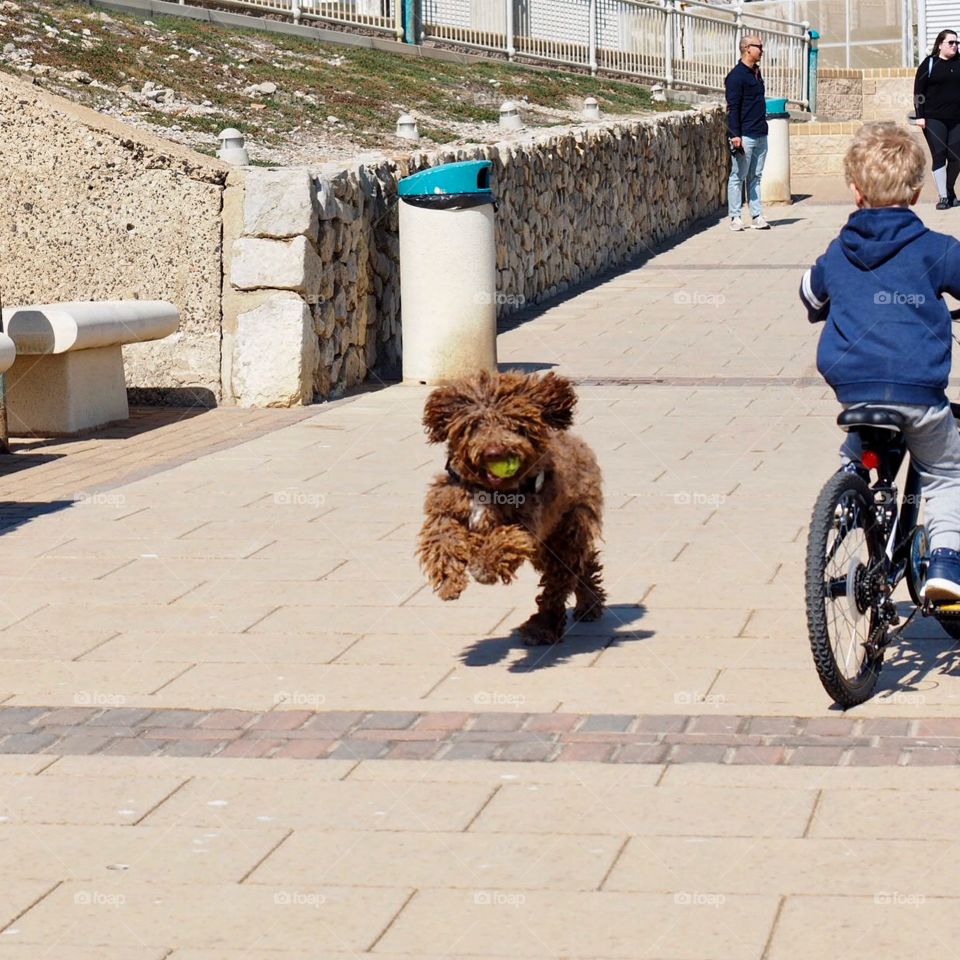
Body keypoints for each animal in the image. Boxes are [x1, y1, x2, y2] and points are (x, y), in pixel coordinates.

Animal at [416, 368, 604, 644]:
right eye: (476, 424)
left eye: (515, 424)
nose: (495, 452)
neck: (488, 490)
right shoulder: (445, 508)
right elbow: (443, 540)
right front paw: (450, 582)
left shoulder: (524, 524)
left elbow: (502, 541)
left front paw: (484, 568)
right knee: (581, 567)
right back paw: (588, 603)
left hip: (565, 532)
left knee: (559, 582)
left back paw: (544, 626)